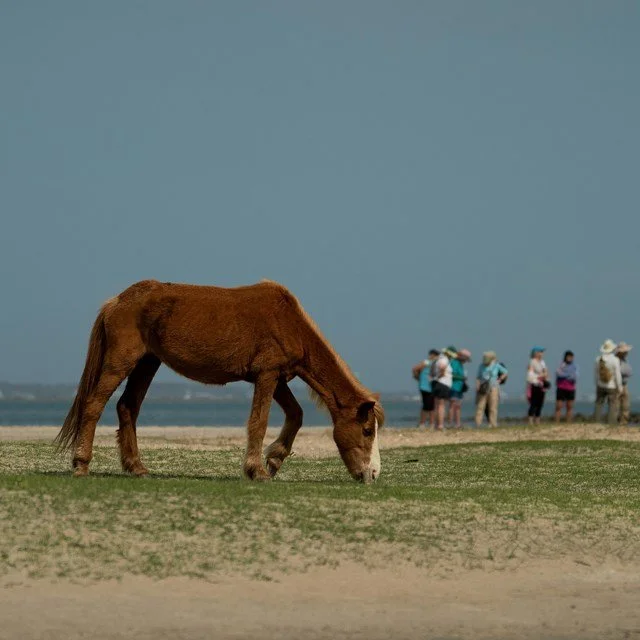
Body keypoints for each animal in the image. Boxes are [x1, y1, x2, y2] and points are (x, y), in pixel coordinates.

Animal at [55, 280, 384, 482]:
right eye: (367, 431)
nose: (373, 474)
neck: (288, 323)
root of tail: (116, 302)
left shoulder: (278, 378)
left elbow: (296, 414)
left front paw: (274, 461)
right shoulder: (267, 375)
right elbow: (259, 422)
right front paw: (257, 470)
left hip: (148, 362)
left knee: (127, 407)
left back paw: (137, 467)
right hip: (121, 361)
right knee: (94, 404)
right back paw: (81, 464)